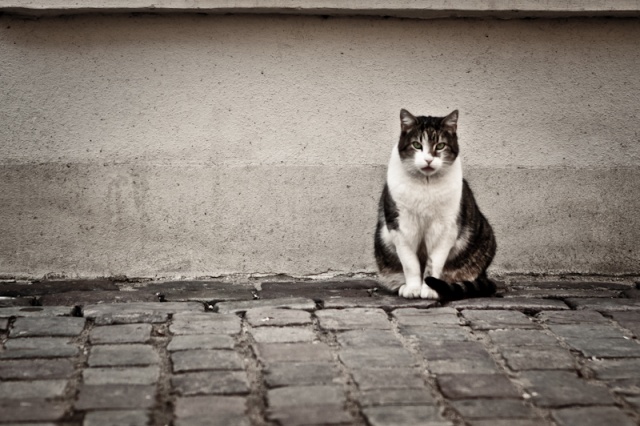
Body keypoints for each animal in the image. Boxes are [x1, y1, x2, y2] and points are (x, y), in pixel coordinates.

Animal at [372, 108, 498, 302]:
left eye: (440, 146)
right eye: (417, 145)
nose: (428, 160)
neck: (426, 183)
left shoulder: (445, 228)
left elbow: (434, 263)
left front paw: (429, 289)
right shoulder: (402, 225)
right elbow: (410, 263)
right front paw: (413, 288)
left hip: (485, 236)